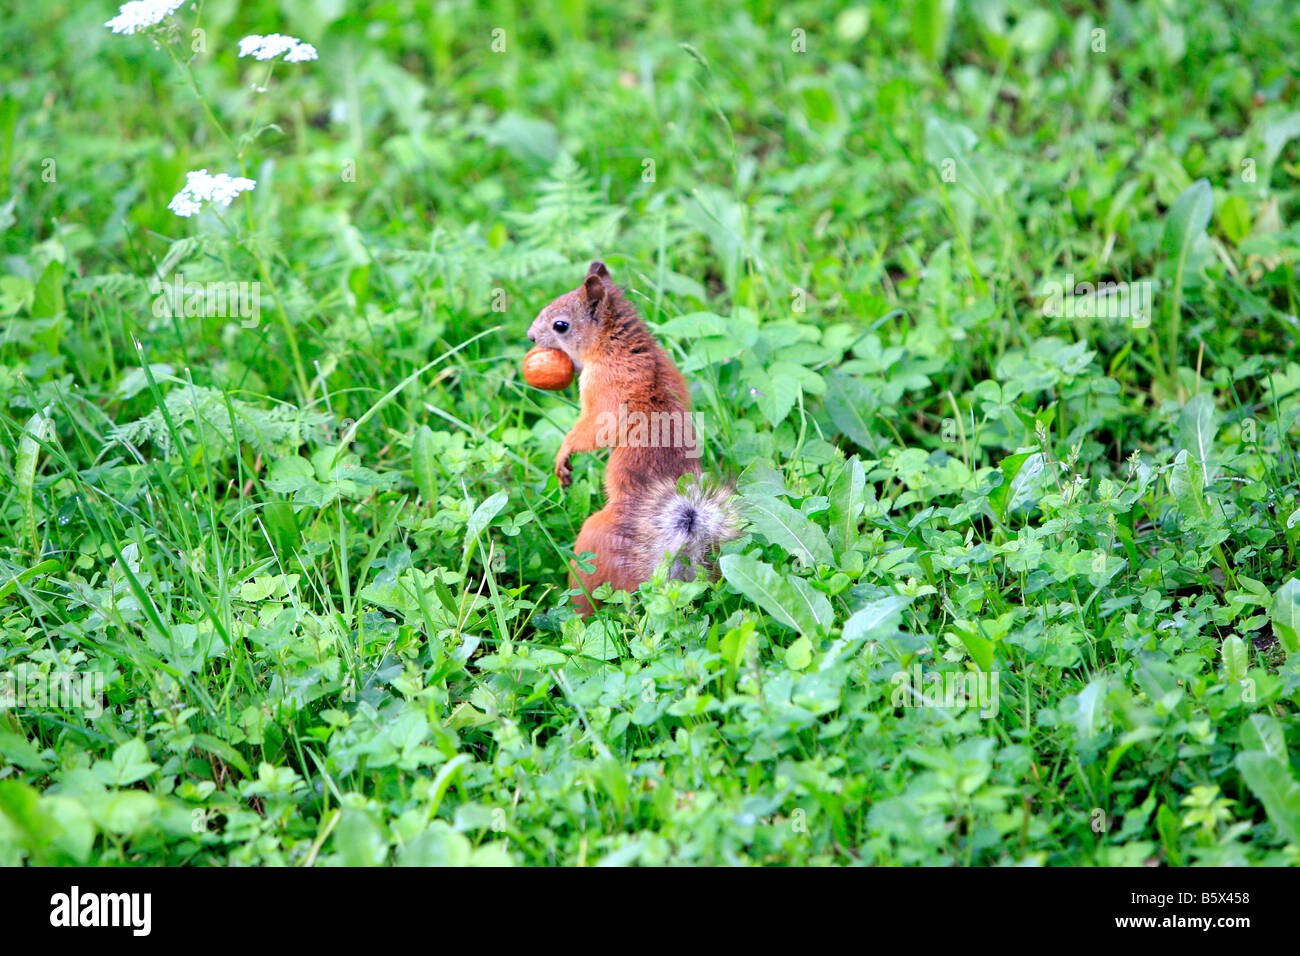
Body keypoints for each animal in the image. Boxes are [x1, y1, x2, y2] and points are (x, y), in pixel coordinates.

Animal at [528, 261, 739, 617]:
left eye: (561, 325)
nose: (530, 336)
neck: (620, 346)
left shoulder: (604, 392)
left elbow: (592, 431)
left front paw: (563, 455)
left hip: (592, 543)